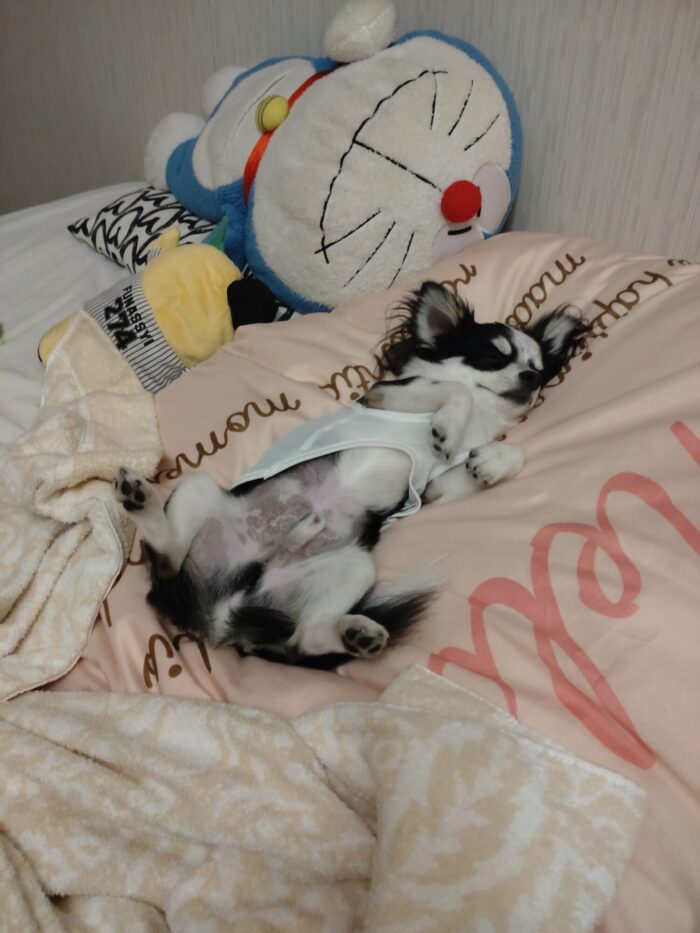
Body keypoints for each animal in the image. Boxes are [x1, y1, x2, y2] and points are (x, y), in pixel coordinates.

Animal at [114, 282, 586, 668]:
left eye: (539, 369)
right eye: (491, 357)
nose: (530, 378)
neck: (482, 422)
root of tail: (221, 616)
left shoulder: (434, 486)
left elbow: (501, 454)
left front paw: (491, 461)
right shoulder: (387, 395)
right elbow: (454, 390)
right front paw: (447, 427)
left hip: (353, 566)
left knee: (301, 640)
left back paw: (351, 629)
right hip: (197, 491)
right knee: (167, 559)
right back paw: (140, 499)